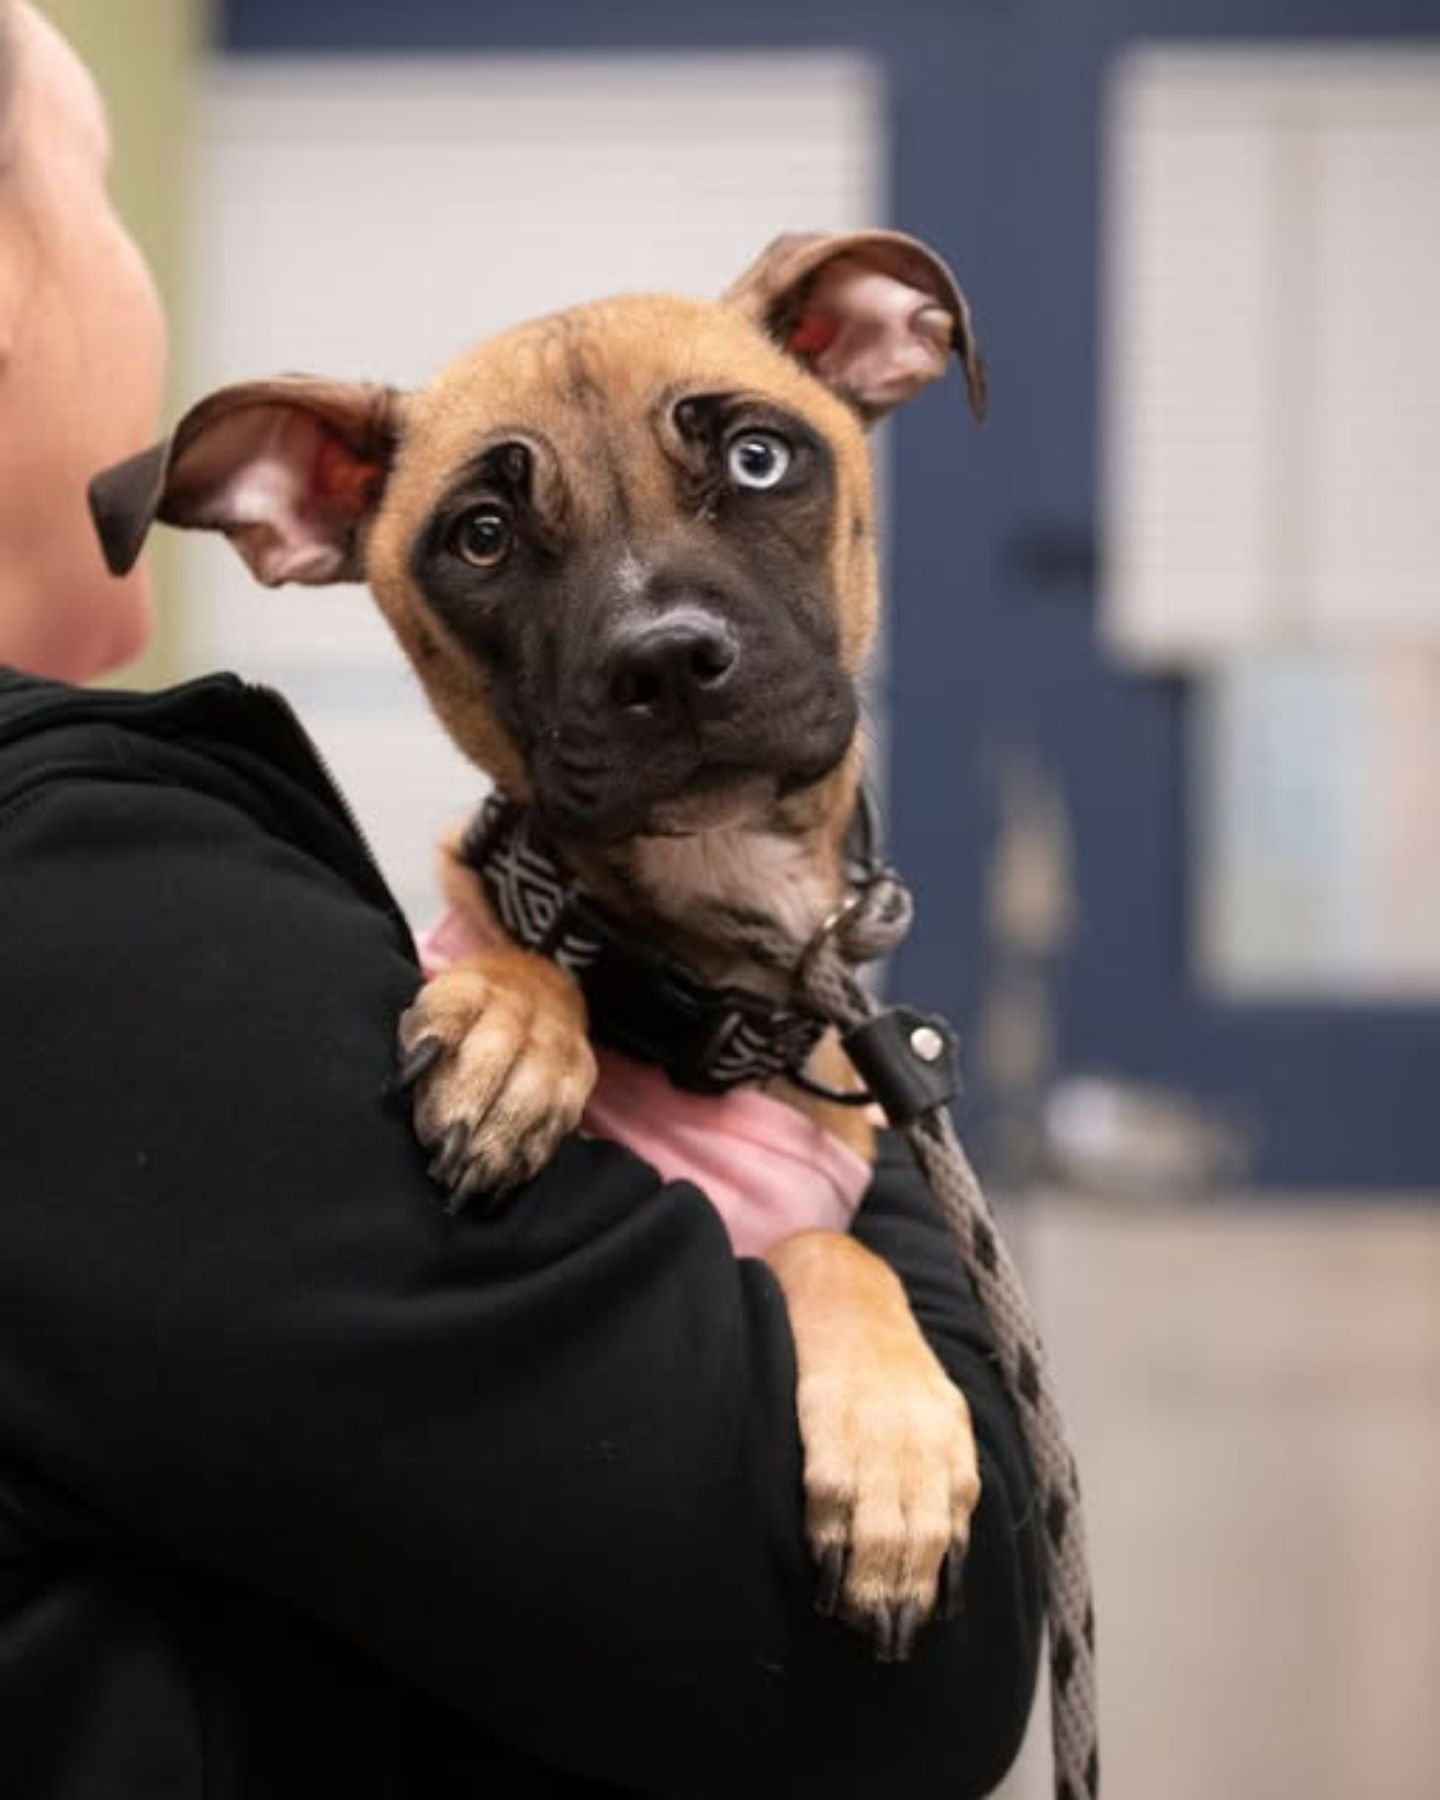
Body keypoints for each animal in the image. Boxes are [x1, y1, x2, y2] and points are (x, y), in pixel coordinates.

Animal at [90, 232, 993, 1663]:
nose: (667, 663)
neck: (688, 977)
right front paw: (513, 1032)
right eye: (484, 537)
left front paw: (896, 1445)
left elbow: (829, 1245)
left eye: (758, 460)